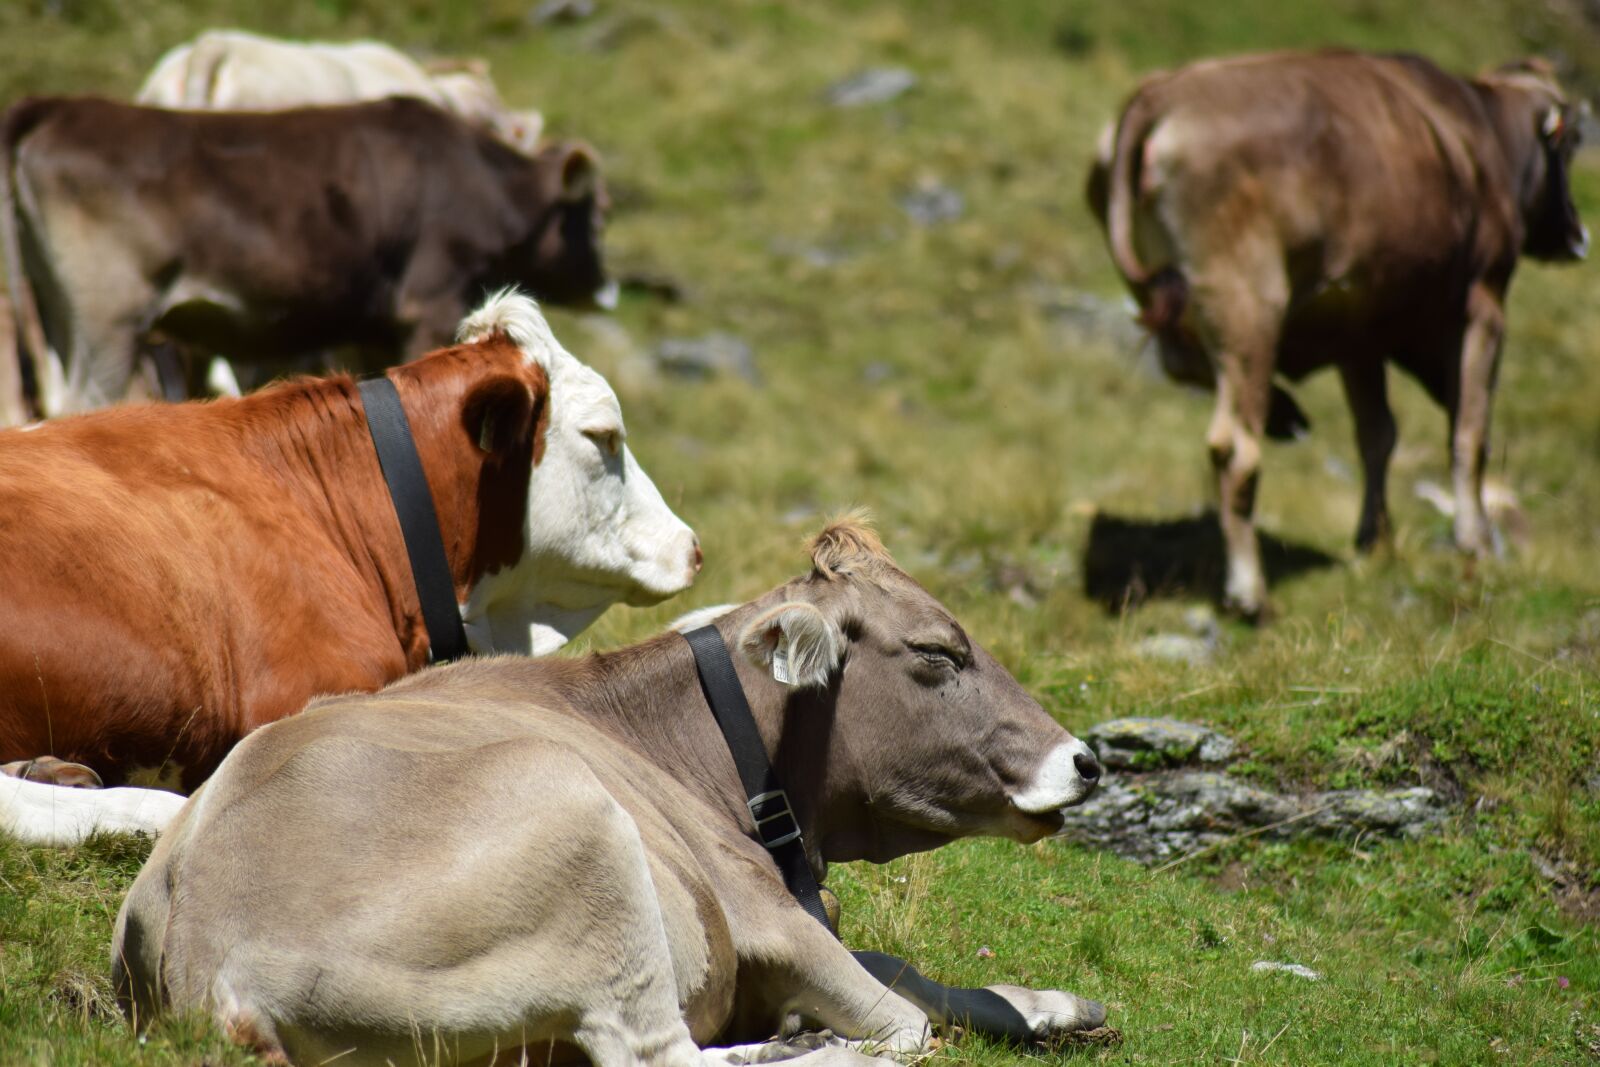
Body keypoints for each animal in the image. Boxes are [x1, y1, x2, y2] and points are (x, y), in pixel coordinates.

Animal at [0, 95, 610, 420]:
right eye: (599, 213)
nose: (607, 287)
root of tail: (62, 106)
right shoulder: (431, 302)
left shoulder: (377, 327)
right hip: (110, 315)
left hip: (52, 305)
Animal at [113, 517, 1107, 1065]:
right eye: (940, 651)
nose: (1086, 760)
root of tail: (210, 964)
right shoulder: (766, 915)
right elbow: (901, 1010)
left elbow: (914, 973)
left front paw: (1053, 1006)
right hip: (586, 840)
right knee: (663, 1052)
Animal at [1087, 51, 1588, 618]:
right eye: (1572, 143)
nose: (1577, 236)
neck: (1485, 132)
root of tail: (1157, 94)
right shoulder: (1484, 301)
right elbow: (1470, 429)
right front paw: (1475, 539)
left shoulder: (1359, 334)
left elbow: (1377, 435)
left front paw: (1375, 539)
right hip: (1248, 299)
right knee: (1233, 445)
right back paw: (1249, 592)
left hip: (1172, 294)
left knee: (1184, 364)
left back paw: (1283, 414)